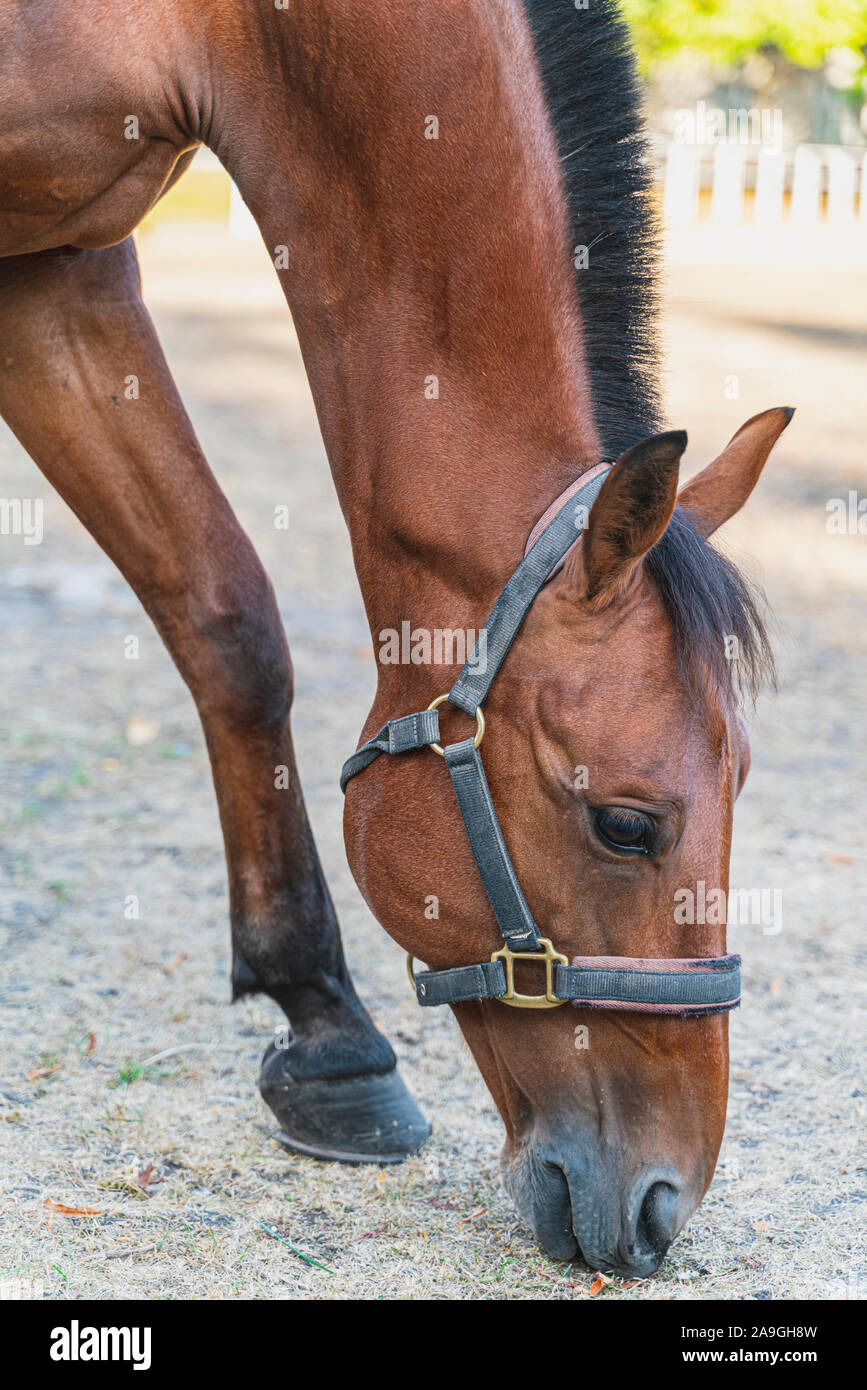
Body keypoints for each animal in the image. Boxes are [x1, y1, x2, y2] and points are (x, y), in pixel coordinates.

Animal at [0, 2, 794, 1278]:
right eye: (626, 824)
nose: (666, 1202)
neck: (219, 33)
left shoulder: (61, 266)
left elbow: (225, 617)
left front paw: (330, 1034)